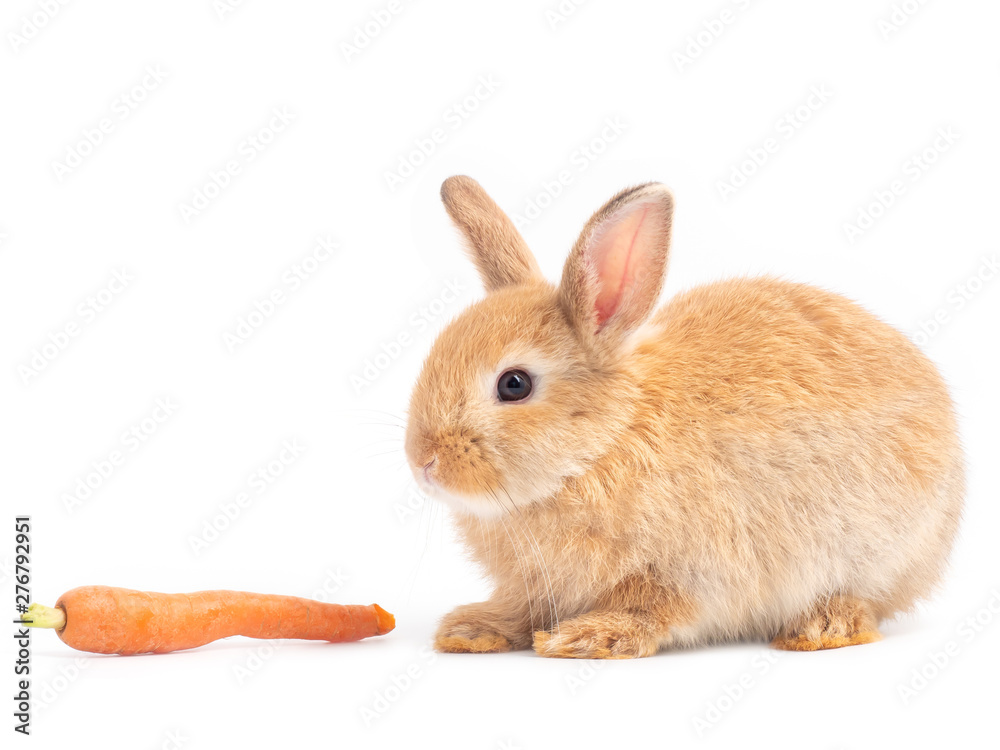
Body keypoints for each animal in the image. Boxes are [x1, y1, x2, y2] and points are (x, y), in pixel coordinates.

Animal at [404, 175, 965, 658]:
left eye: (514, 384)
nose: (422, 461)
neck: (602, 445)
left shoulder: (690, 567)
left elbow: (651, 607)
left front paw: (589, 638)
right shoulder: (537, 586)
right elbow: (523, 609)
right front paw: (473, 629)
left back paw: (820, 628)